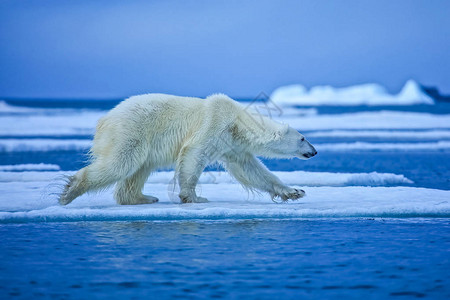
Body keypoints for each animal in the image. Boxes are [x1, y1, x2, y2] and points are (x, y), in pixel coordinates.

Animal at [59, 94, 316, 205]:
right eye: (303, 138)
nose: (314, 151)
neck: (238, 122)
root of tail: (104, 119)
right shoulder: (214, 124)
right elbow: (194, 154)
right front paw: (194, 197)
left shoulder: (232, 145)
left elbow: (251, 170)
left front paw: (294, 191)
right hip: (131, 131)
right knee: (121, 163)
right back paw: (69, 191)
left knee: (139, 169)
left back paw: (143, 197)